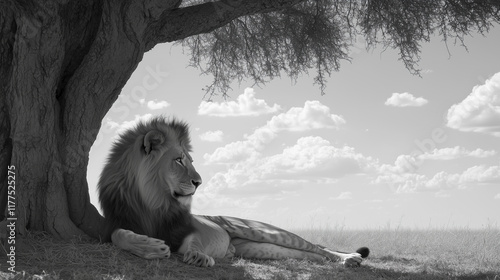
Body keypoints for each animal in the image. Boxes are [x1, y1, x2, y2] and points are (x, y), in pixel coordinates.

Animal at [98, 116, 368, 266]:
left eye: (190, 160)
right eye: (179, 160)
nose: (199, 182)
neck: (153, 203)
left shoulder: (188, 228)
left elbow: (193, 241)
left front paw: (198, 256)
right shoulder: (117, 221)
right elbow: (117, 235)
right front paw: (149, 247)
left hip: (264, 232)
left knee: (315, 246)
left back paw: (350, 258)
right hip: (258, 248)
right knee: (308, 255)